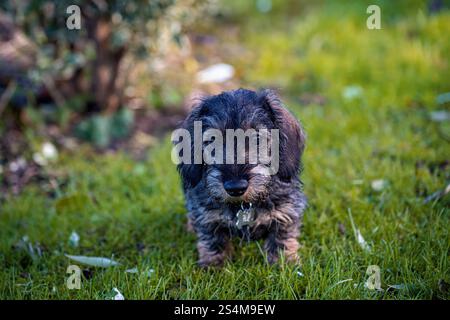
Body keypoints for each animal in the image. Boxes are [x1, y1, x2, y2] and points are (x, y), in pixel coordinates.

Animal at [174, 89, 308, 266]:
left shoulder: (287, 209)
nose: (235, 187)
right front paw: (214, 264)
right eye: (212, 140)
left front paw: (283, 261)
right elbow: (213, 238)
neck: (243, 205)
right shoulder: (206, 214)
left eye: (257, 138)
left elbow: (281, 235)